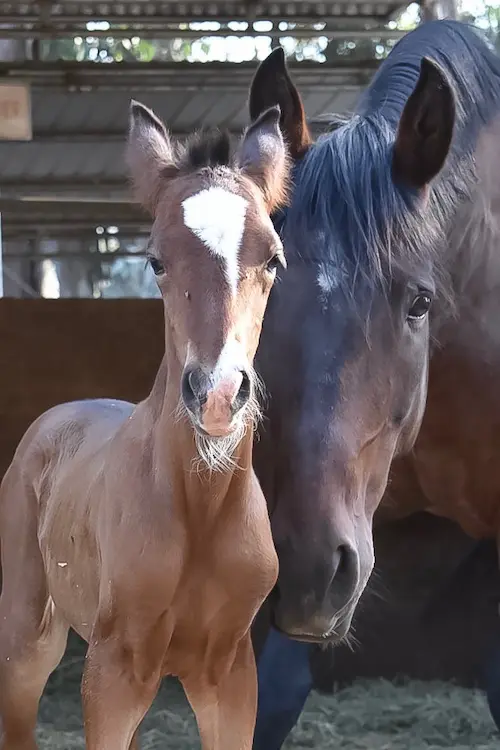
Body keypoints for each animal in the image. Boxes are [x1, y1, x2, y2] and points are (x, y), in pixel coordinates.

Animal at [0, 100, 290, 750]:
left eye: (274, 259)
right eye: (155, 260)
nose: (218, 394)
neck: (200, 511)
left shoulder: (232, 675)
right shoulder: (110, 674)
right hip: (28, 637)